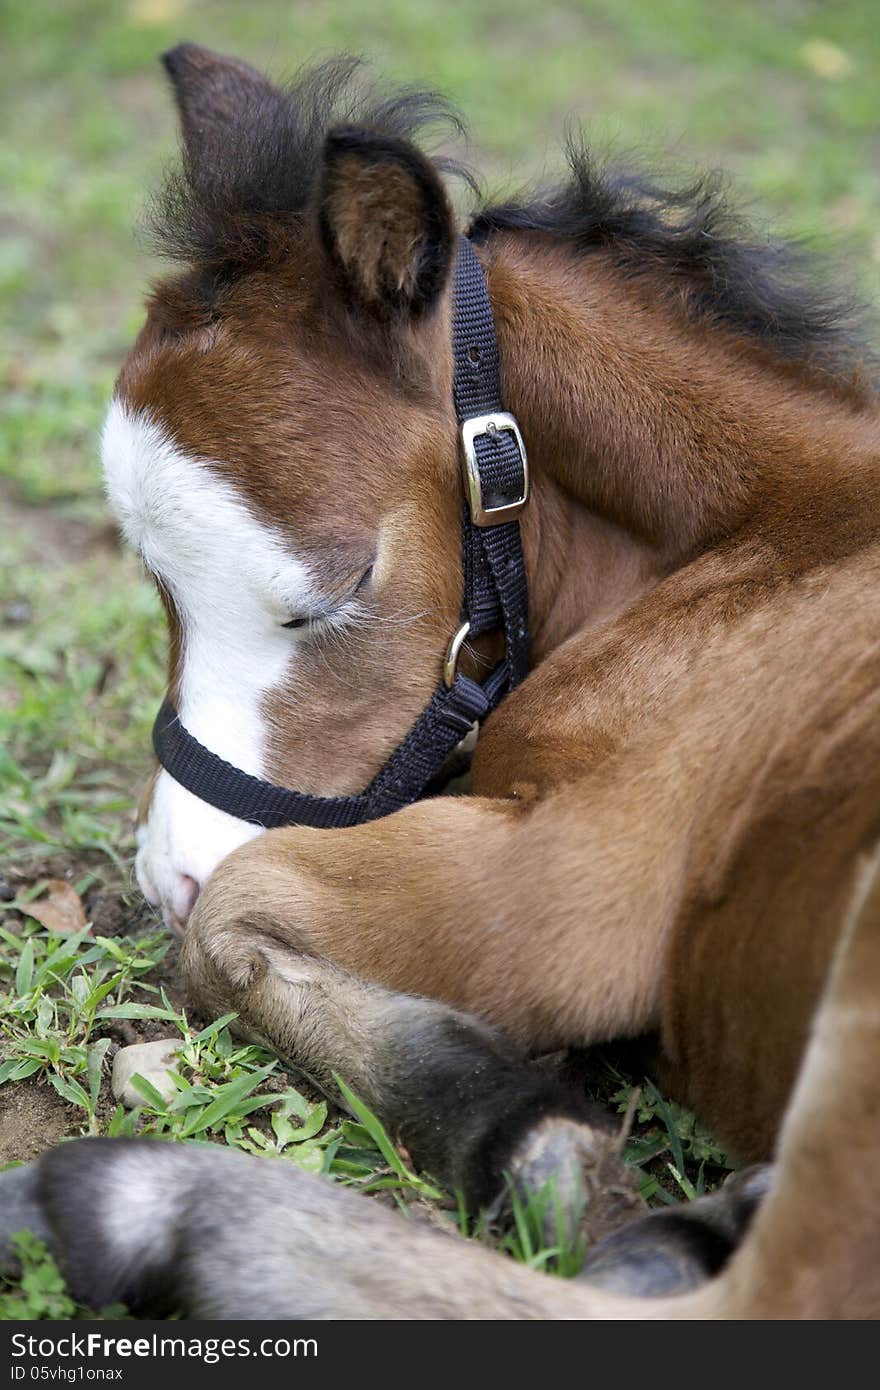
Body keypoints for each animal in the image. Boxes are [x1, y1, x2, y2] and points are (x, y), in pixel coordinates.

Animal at [3, 43, 873, 1317]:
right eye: (152, 578)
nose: (165, 873)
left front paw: (531, 1138)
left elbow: (236, 915)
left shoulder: (577, 877)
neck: (775, 538)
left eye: (336, 587)